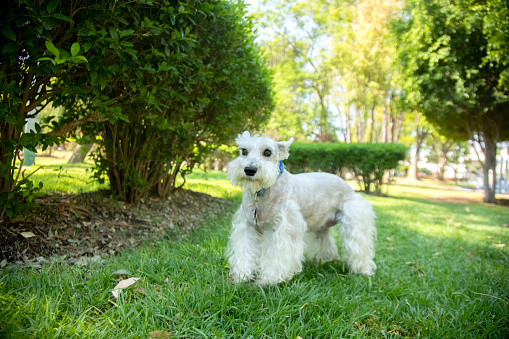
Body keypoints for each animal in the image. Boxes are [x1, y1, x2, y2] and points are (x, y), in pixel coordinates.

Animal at [224, 131, 376, 286]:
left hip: (354, 224)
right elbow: (244, 251)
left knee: (360, 249)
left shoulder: (283, 229)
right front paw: (241, 276)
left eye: (267, 152)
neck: (262, 193)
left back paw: (363, 271)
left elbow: (276, 256)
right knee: (326, 244)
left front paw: (269, 280)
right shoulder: (246, 227)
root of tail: (349, 187)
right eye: (244, 151)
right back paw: (324, 260)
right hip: (321, 227)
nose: (249, 170)